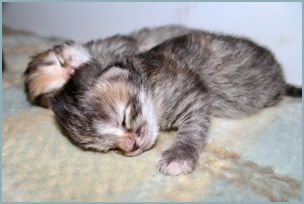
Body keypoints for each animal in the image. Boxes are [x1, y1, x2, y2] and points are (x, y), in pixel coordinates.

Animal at [50, 30, 302, 175]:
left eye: (122, 119)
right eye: (108, 147)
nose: (132, 146)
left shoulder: (192, 96)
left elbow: (193, 128)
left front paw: (179, 156)